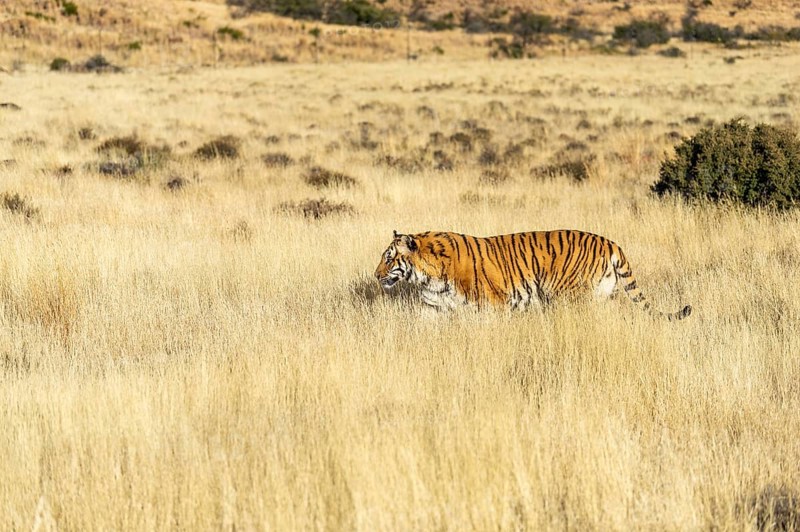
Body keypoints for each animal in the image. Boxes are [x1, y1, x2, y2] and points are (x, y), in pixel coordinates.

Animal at [374, 229, 692, 321]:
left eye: (388, 258)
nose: (376, 275)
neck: (428, 277)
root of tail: (611, 243)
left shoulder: (494, 305)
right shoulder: (434, 307)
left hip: (570, 297)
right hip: (604, 295)